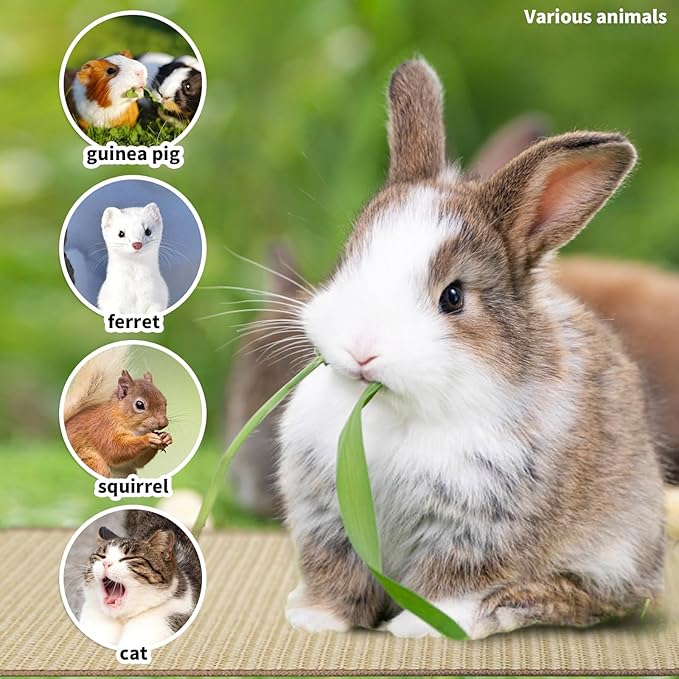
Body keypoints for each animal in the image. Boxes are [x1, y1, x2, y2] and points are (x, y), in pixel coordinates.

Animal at [277, 59, 665, 639]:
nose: (361, 350)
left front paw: (420, 630)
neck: (397, 410)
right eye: (347, 262)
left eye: (453, 297)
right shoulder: (329, 522)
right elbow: (337, 574)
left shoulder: (478, 529)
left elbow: (449, 584)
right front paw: (316, 620)